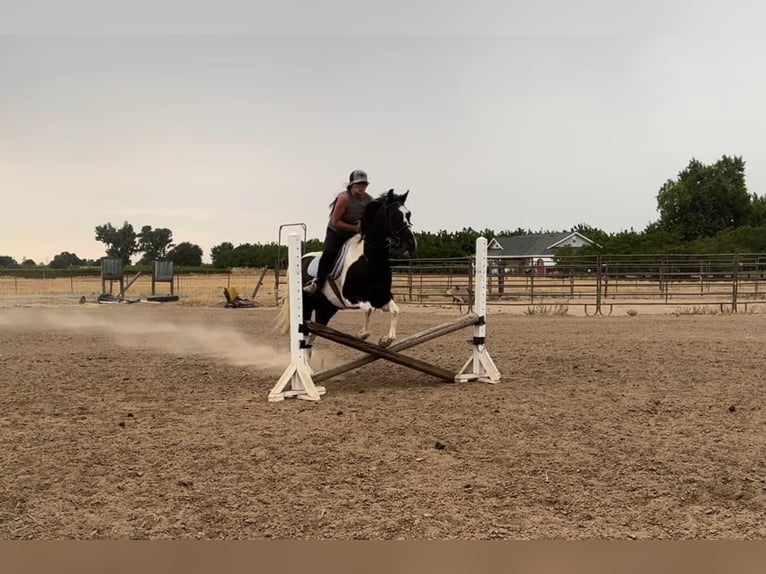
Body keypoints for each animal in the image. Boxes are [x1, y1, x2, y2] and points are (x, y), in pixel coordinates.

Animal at [276, 188, 416, 347]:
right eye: (394, 216)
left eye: (408, 214)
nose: (411, 244)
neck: (371, 260)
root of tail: (302, 258)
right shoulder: (350, 296)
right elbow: (368, 309)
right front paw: (362, 334)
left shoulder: (381, 296)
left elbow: (395, 310)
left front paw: (386, 340)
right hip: (306, 305)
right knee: (305, 335)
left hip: (326, 309)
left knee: (311, 338)